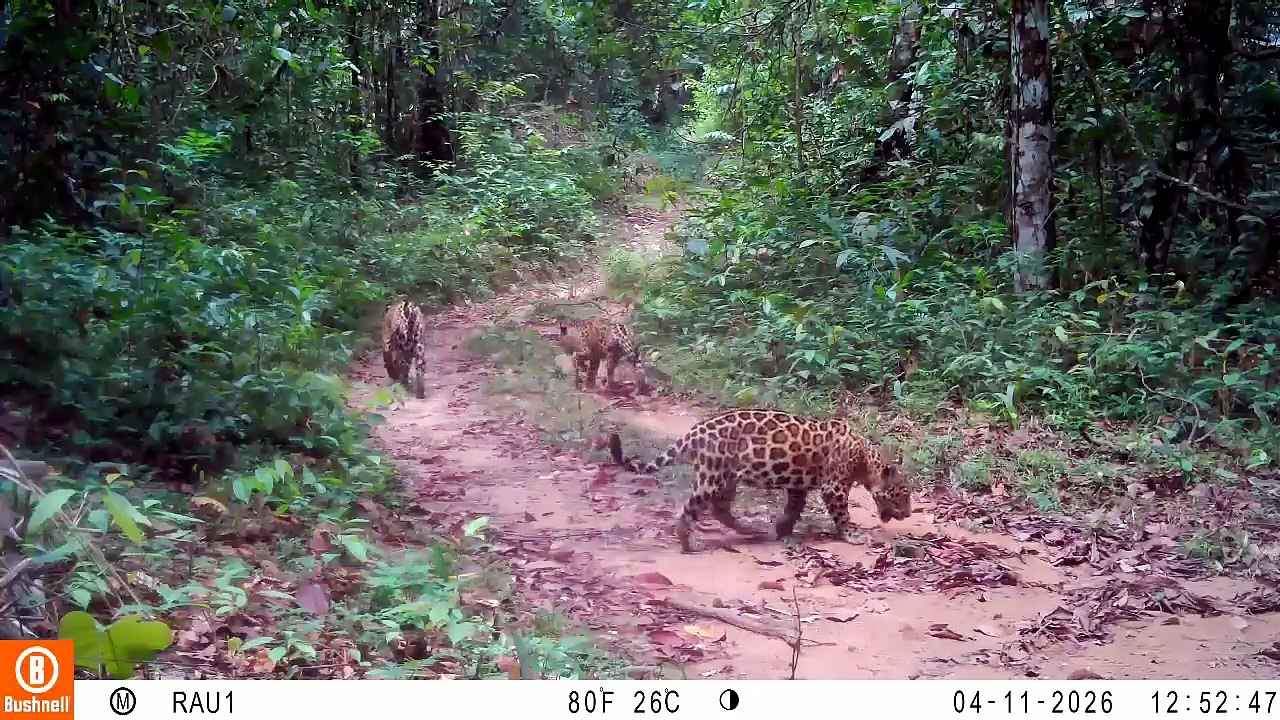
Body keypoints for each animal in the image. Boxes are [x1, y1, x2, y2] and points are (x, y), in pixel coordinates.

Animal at [610, 409, 912, 553]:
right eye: (904, 494)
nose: (909, 513)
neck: (865, 459)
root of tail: (694, 432)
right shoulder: (834, 488)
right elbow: (842, 515)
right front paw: (851, 535)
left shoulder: (798, 486)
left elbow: (793, 509)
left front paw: (782, 530)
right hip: (711, 476)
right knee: (690, 510)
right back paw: (689, 544)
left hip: (727, 479)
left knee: (720, 508)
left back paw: (749, 530)